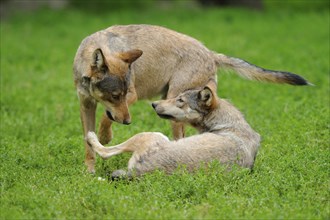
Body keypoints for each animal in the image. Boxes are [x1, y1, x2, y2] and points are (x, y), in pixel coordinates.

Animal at [86, 81, 262, 179]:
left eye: (180, 100)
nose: (153, 104)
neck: (227, 124)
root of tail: (139, 172)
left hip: (151, 135)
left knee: (104, 151)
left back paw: (90, 136)